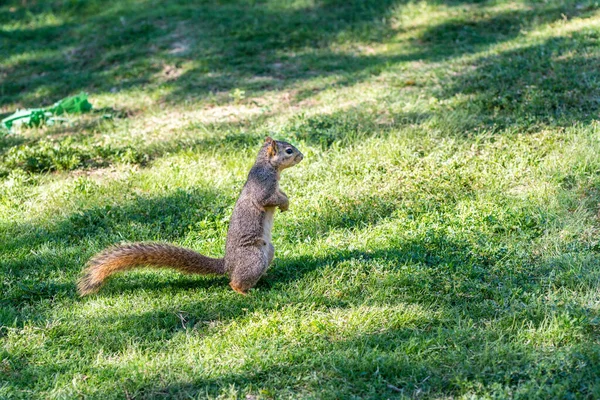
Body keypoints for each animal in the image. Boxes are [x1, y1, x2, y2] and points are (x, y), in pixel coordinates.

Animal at [78, 138, 304, 296]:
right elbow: (270, 199)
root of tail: (227, 265)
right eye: (289, 151)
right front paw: (285, 204)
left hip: (268, 251)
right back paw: (244, 291)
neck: (268, 166)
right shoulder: (263, 187)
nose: (302, 156)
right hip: (253, 257)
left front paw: (286, 202)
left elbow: (281, 193)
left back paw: (267, 276)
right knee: (234, 281)